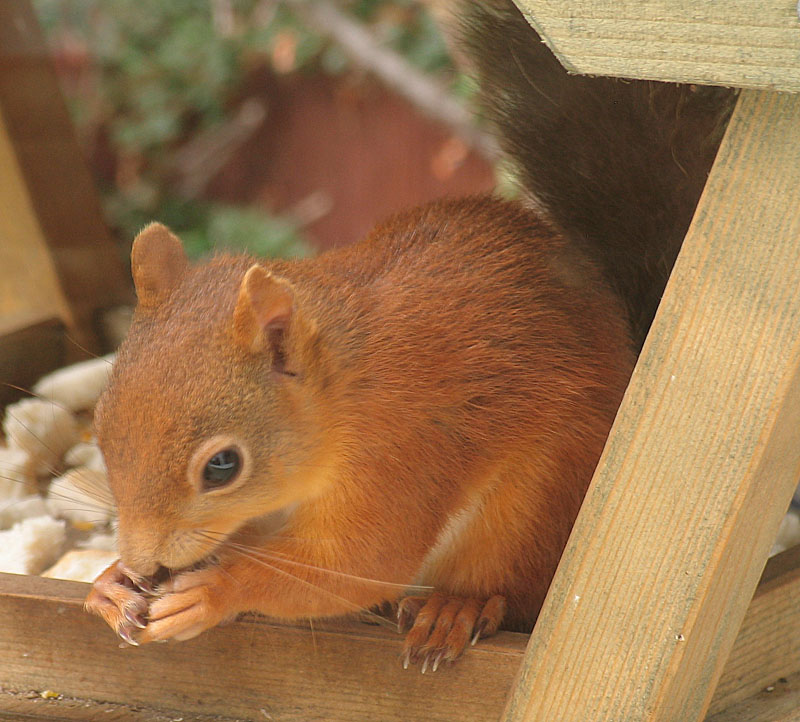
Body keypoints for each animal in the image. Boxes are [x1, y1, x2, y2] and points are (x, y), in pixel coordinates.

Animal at [84, 0, 736, 668]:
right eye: (99, 429)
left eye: (222, 467)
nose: (143, 562)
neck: (342, 394)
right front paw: (109, 584)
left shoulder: (402, 454)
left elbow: (360, 562)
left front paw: (215, 589)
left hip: (532, 509)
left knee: (506, 584)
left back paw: (458, 606)